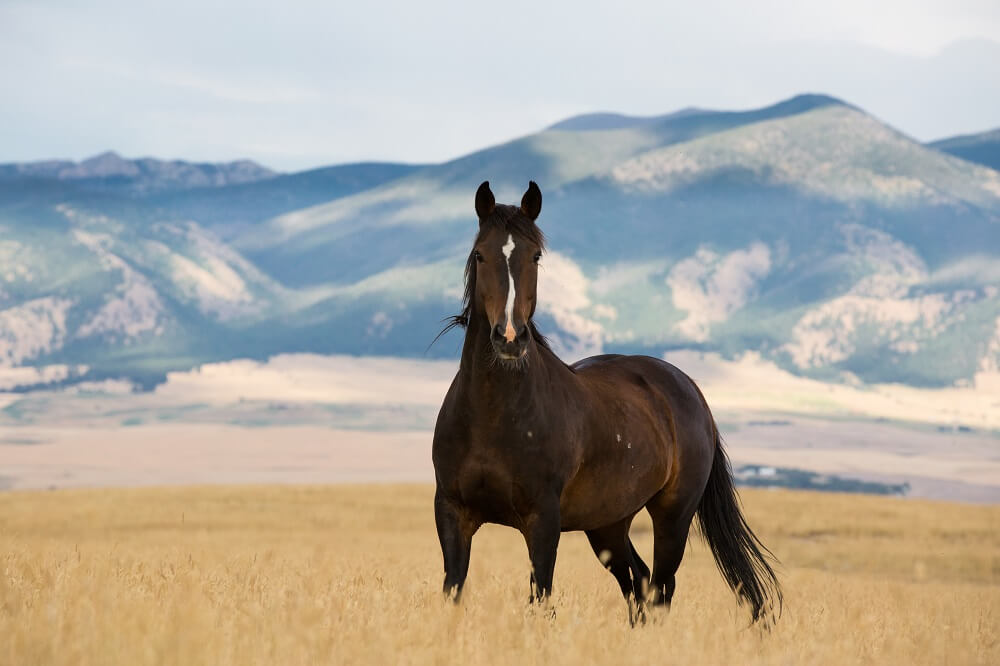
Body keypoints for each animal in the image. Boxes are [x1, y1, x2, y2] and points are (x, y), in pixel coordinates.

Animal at [430, 180, 780, 624]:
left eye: (536, 255)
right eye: (480, 254)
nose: (509, 337)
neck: (492, 416)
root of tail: (691, 391)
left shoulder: (542, 521)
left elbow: (540, 598)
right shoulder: (452, 513)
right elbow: (452, 593)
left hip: (673, 517)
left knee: (661, 587)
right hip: (608, 524)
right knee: (639, 582)